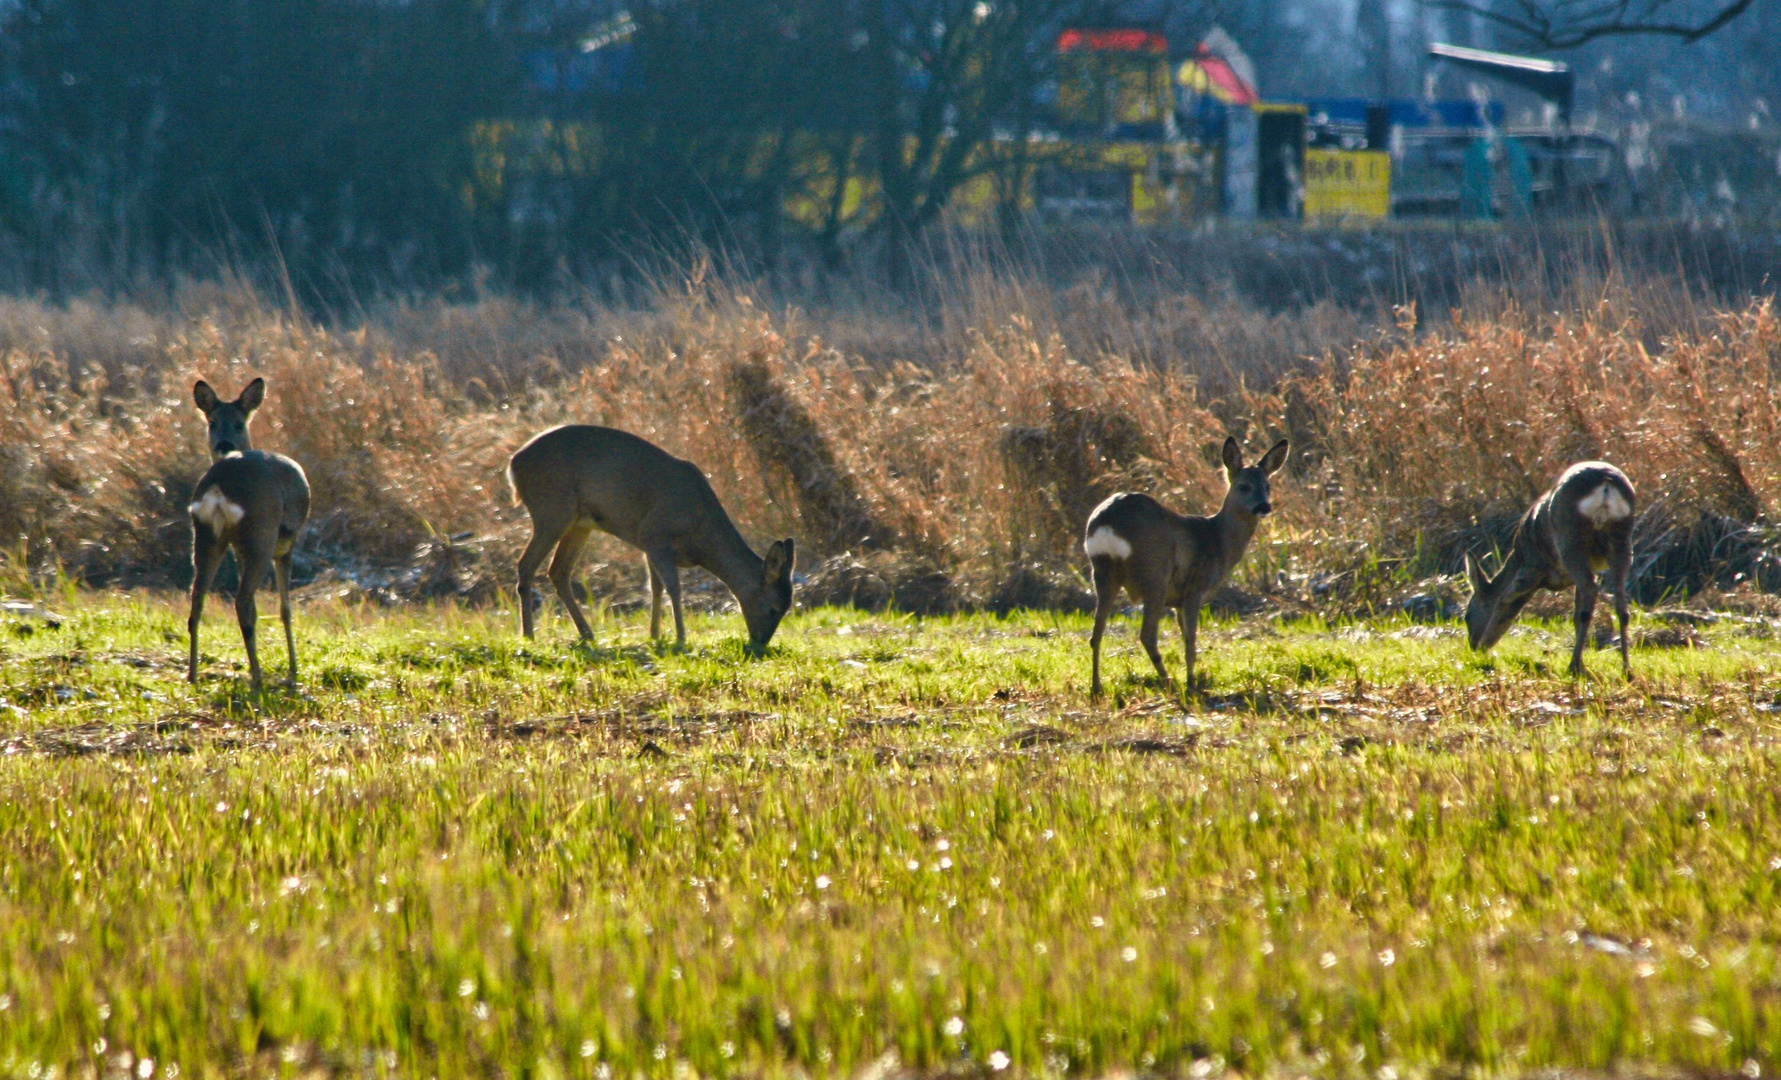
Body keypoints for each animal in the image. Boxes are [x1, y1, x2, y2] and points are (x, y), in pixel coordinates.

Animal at [186, 376, 311, 695]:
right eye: (213, 422)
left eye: (238, 423)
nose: (224, 444)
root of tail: (218, 488)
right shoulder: (287, 546)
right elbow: (285, 608)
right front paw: (294, 668)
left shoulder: (237, 550)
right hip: (261, 536)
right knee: (242, 602)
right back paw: (257, 677)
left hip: (207, 536)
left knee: (197, 599)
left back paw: (193, 674)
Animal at [512, 427, 797, 655]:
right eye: (773, 609)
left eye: (786, 608)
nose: (760, 644)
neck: (700, 536)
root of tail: (513, 465)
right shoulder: (656, 537)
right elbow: (674, 588)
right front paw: (680, 638)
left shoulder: (647, 544)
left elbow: (655, 587)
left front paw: (655, 635)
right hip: (551, 511)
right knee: (526, 565)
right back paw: (528, 635)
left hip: (579, 523)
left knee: (557, 571)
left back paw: (587, 634)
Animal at [1075, 438, 1289, 702]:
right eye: (1243, 486)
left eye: (1267, 485)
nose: (1264, 506)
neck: (1219, 540)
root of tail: (1108, 521)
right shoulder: (1194, 589)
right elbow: (1191, 641)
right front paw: (1192, 684)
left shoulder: (1177, 600)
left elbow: (1185, 636)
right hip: (1155, 572)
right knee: (1147, 635)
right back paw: (1170, 683)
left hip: (1103, 571)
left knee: (1096, 633)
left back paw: (1096, 689)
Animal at [1467, 459, 1631, 680]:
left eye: (1467, 616)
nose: (1473, 646)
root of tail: (1606, 485)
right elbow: (1576, 612)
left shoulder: (1531, 566)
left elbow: (1505, 597)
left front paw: (1486, 643)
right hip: (1621, 537)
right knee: (1619, 602)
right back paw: (1625, 668)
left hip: (1570, 537)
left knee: (1590, 592)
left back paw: (1574, 666)